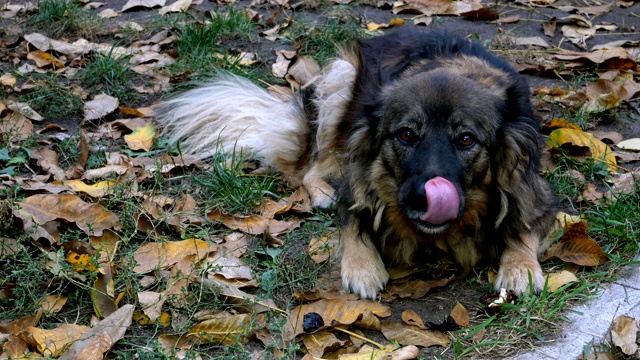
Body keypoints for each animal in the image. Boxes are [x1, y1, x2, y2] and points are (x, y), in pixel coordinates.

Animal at [155, 27, 556, 298]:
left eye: (466, 139)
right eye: (405, 135)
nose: (423, 199)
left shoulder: (536, 188)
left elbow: (522, 224)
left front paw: (520, 268)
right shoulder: (359, 179)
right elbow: (354, 219)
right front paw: (362, 267)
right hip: (342, 81)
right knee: (310, 167)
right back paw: (321, 191)